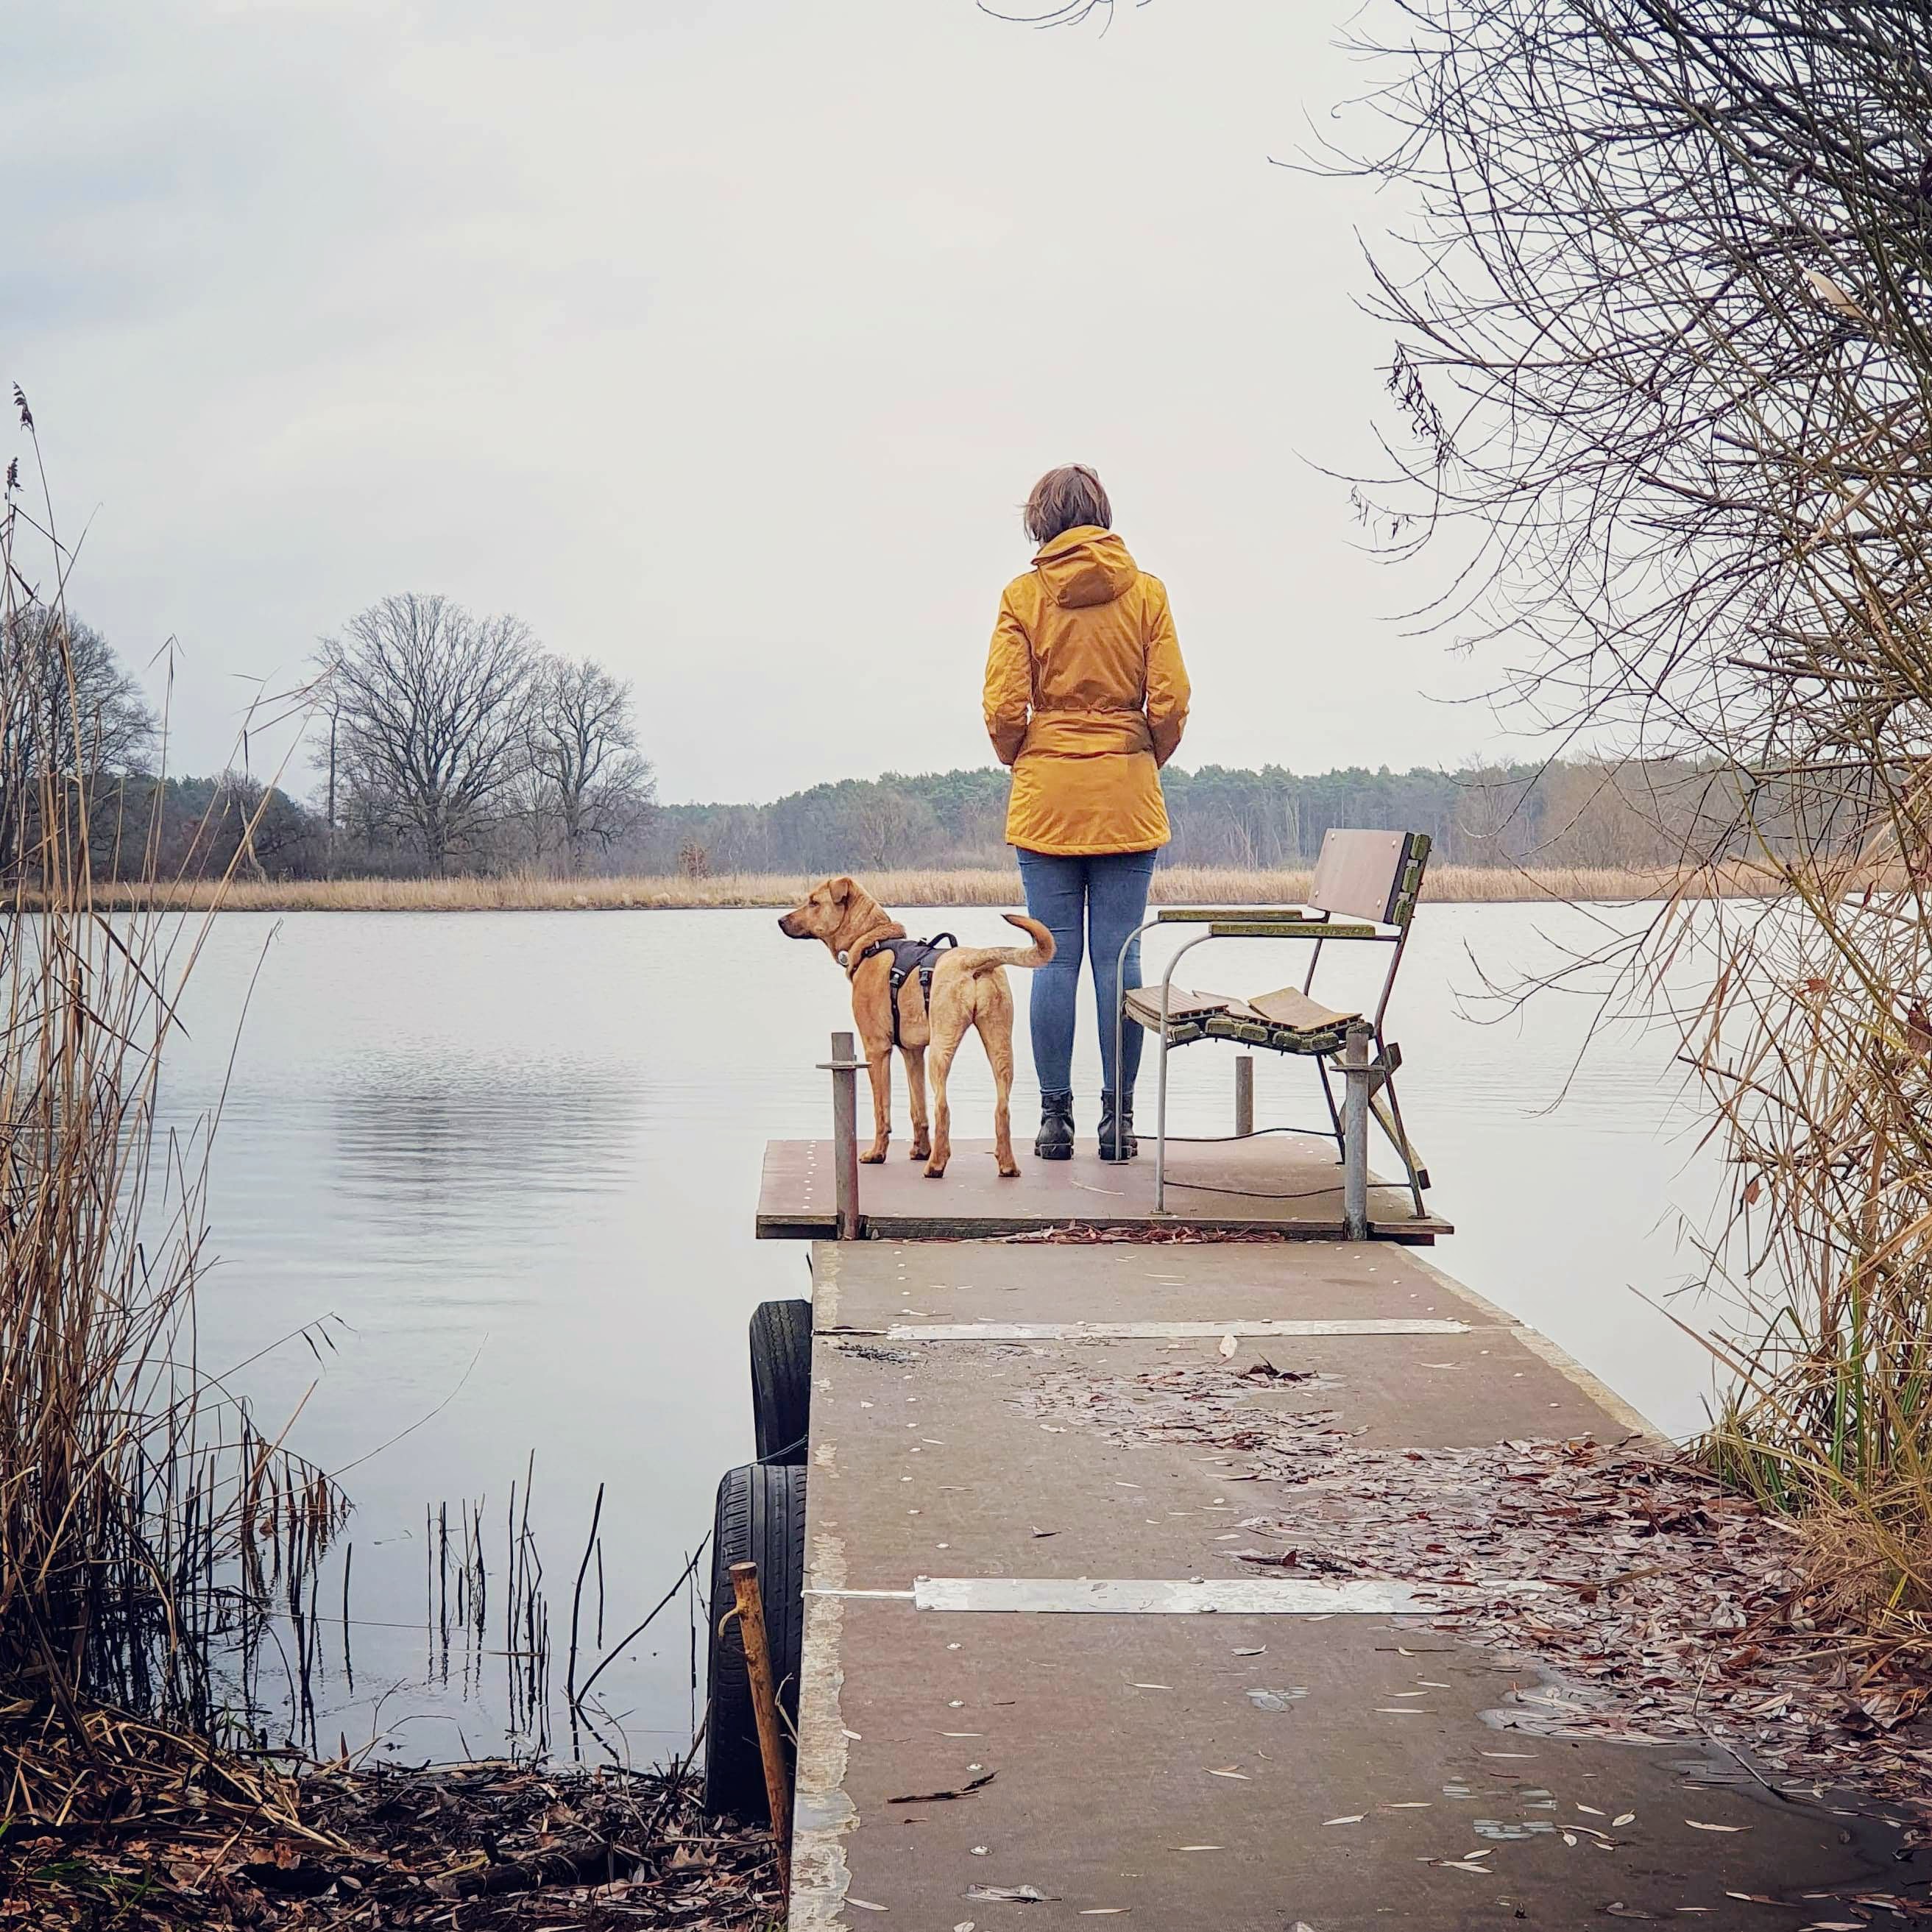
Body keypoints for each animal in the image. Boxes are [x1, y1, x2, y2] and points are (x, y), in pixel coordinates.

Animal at [776, 881, 1058, 1175]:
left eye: (814, 902)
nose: (780, 920)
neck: (870, 941)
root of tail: (974, 960)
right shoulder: (912, 1052)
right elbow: (917, 1108)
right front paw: (920, 1150)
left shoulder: (876, 1049)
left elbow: (882, 1109)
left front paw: (877, 1153)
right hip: (1000, 1044)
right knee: (1001, 1109)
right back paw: (1006, 1165)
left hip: (942, 1048)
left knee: (943, 1107)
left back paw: (936, 1165)